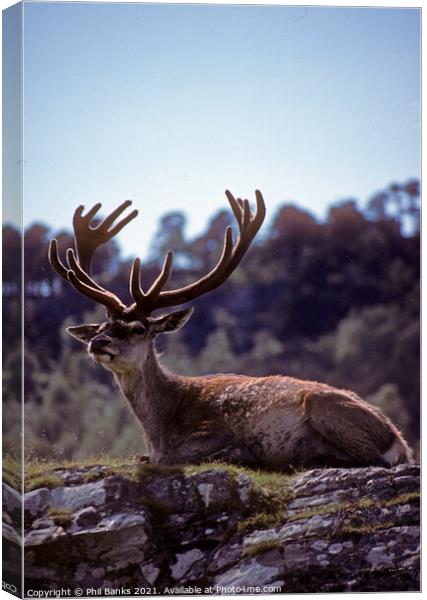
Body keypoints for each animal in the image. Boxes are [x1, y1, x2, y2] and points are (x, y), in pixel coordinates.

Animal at [48, 190, 412, 472]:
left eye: (139, 328)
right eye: (102, 325)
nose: (98, 342)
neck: (160, 427)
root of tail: (400, 442)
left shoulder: (209, 433)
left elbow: (173, 459)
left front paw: (240, 455)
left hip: (323, 405)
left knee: (371, 459)